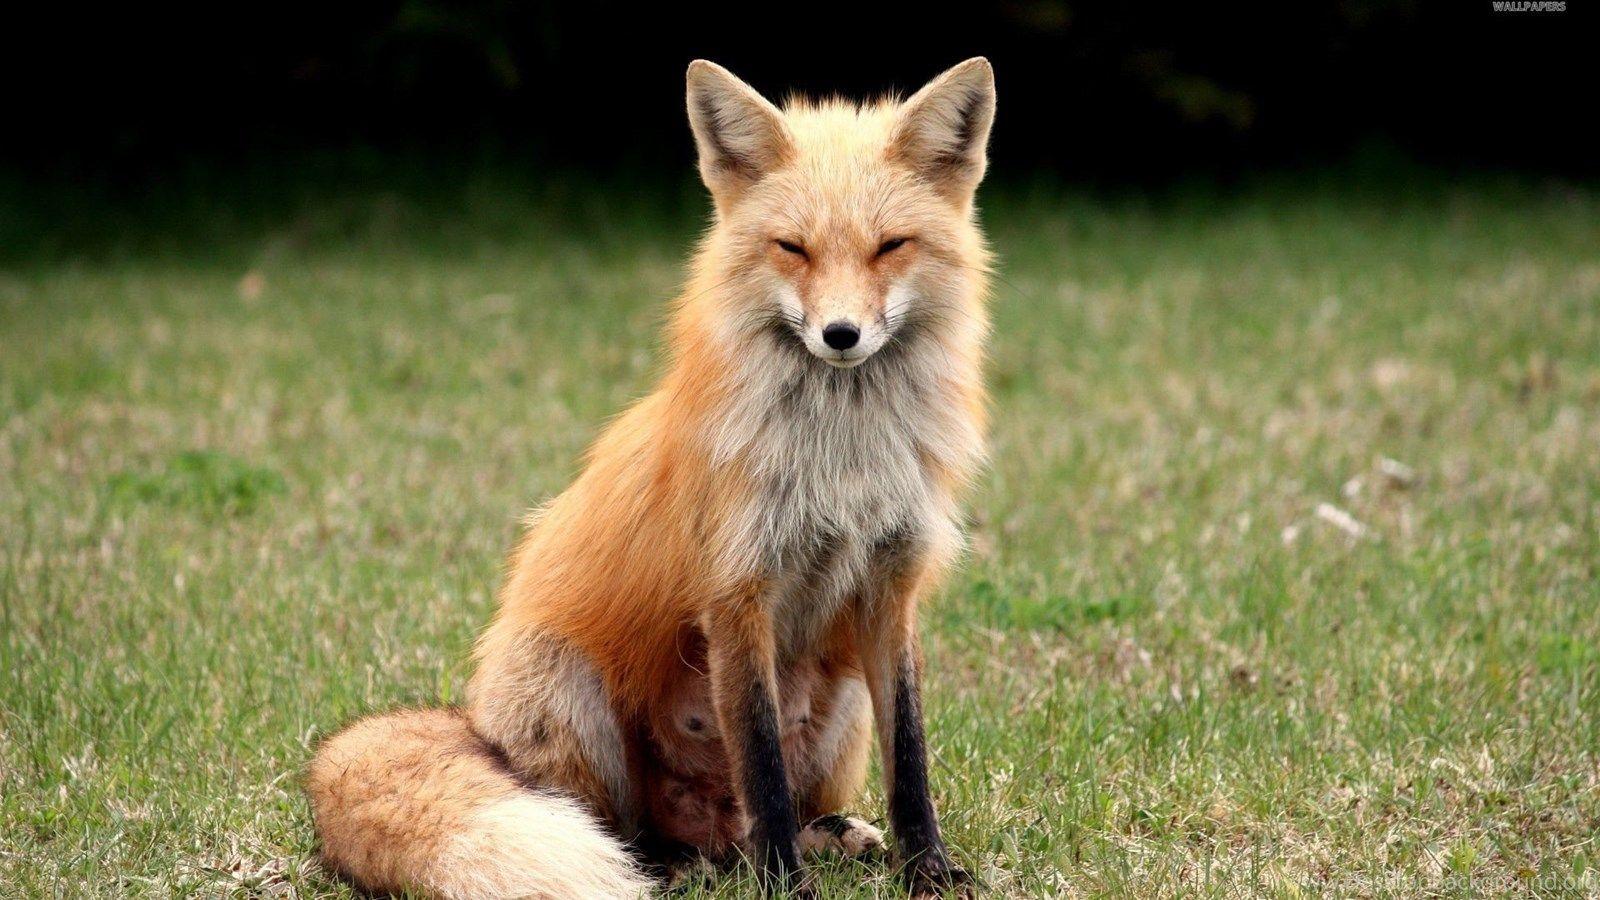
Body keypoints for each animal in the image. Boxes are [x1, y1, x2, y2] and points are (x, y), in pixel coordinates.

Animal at [306, 57, 996, 899]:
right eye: (792, 248)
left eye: (890, 246)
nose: (841, 335)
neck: (841, 459)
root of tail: (474, 724)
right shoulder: (737, 593)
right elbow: (762, 765)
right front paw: (785, 885)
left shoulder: (891, 588)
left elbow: (910, 760)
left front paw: (927, 870)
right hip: (566, 688)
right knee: (637, 829)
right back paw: (667, 864)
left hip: (844, 707)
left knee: (746, 829)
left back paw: (823, 838)